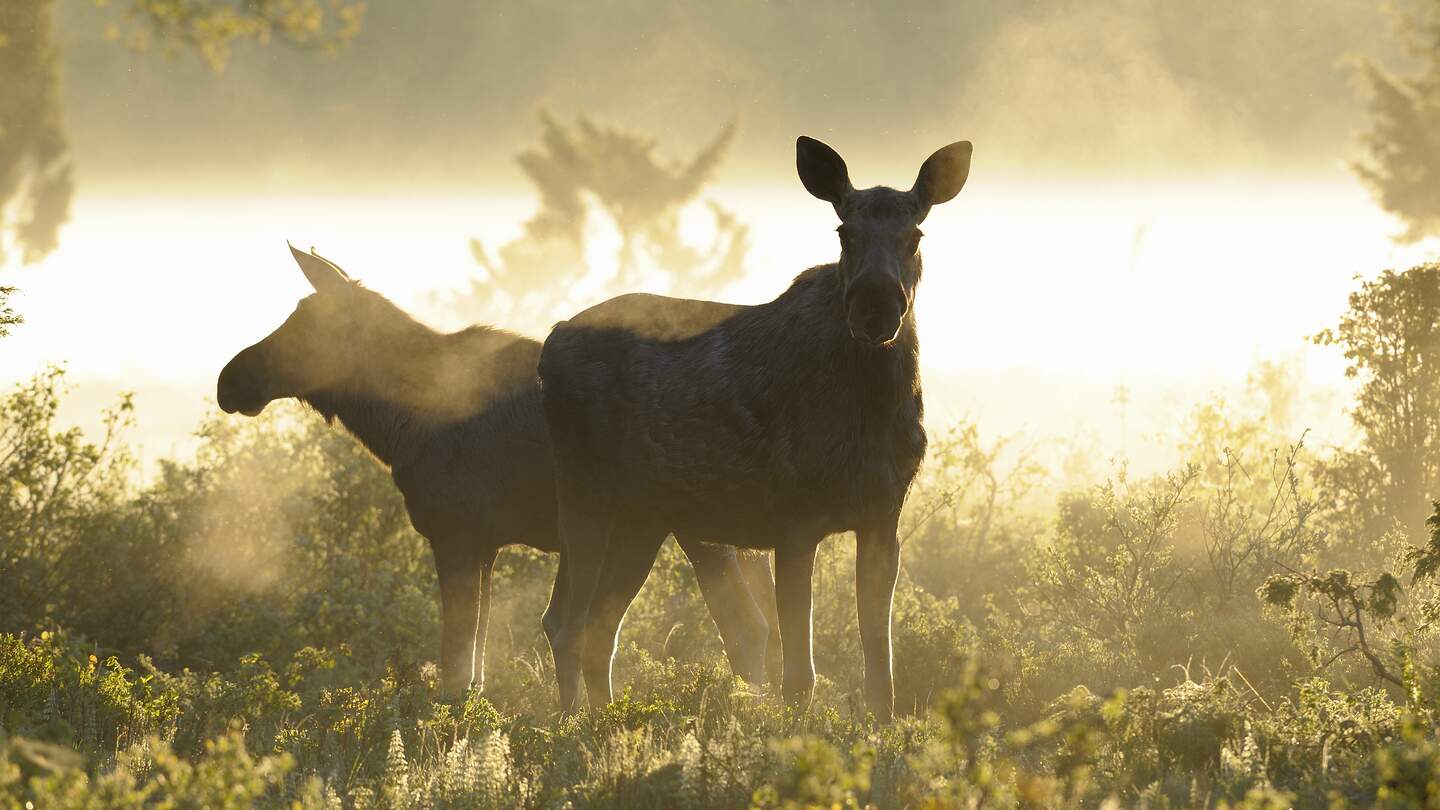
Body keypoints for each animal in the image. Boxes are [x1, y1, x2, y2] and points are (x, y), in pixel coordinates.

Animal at [213, 245, 777, 694]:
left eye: (307, 324)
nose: (229, 379)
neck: (396, 425)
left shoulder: (455, 534)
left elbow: (455, 668)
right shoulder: (486, 545)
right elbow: (478, 668)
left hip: (692, 526)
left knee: (744, 629)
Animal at [538, 136, 967, 717]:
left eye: (914, 234)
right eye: (844, 232)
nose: (875, 308)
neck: (871, 409)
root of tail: (550, 343)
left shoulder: (883, 516)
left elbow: (882, 671)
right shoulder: (794, 520)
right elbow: (799, 675)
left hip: (644, 518)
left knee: (598, 629)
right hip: (586, 491)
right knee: (565, 623)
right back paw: (571, 724)